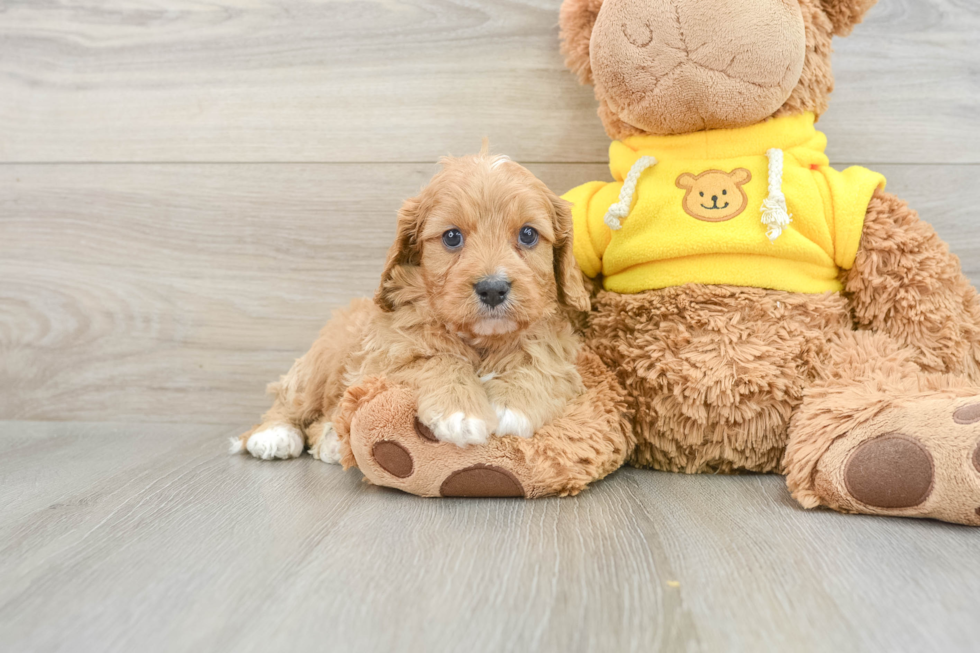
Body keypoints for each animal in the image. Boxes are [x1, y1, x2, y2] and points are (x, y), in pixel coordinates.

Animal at [234, 148, 592, 464]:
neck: (481, 339)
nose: (492, 289)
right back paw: (274, 435)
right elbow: (433, 358)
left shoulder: (559, 345)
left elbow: (539, 357)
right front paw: (460, 411)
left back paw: (331, 442)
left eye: (528, 234)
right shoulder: (385, 354)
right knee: (290, 400)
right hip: (320, 364)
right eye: (451, 237)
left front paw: (510, 405)